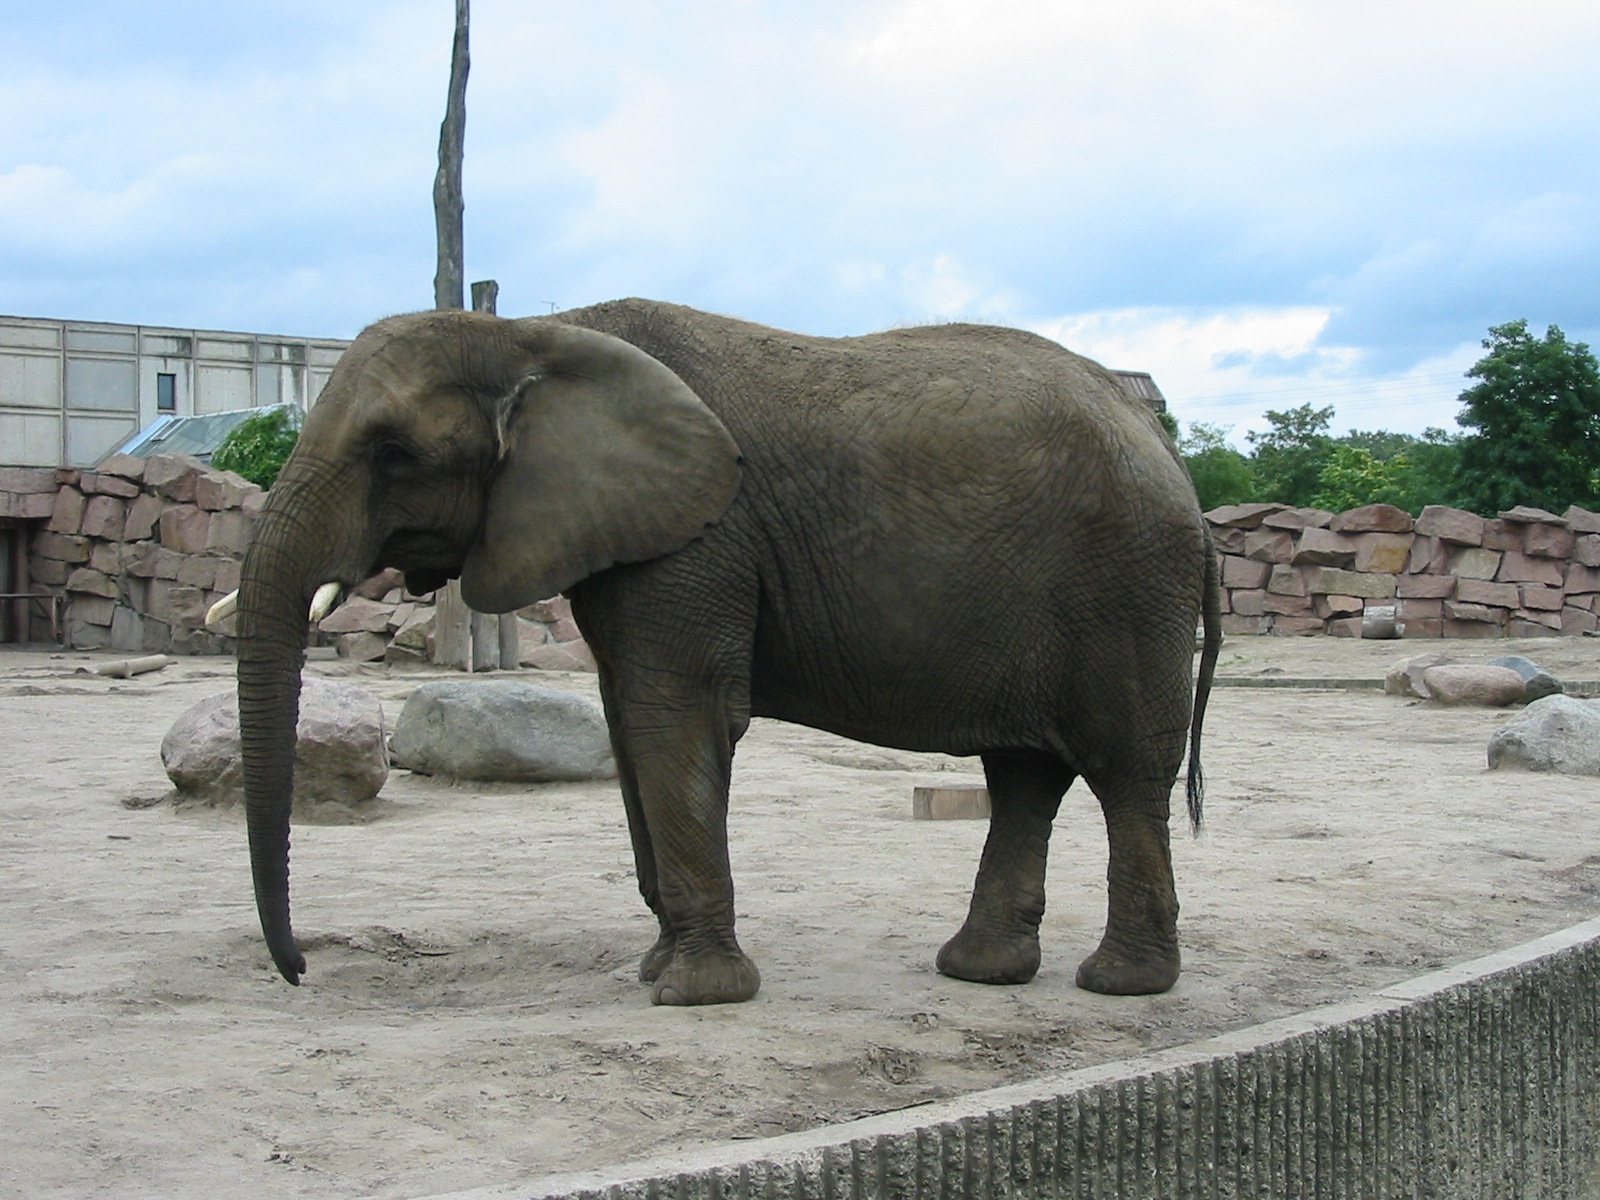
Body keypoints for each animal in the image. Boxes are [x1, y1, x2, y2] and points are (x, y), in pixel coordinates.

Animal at [231, 298, 1221, 1006]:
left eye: (393, 453)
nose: (301, 970)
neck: (533, 333)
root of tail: (1167, 448)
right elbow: (629, 716)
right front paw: (656, 967)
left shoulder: (700, 537)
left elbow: (678, 712)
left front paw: (692, 993)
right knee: (1024, 773)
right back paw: (981, 971)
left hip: (1128, 584)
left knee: (1125, 771)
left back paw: (1121, 985)